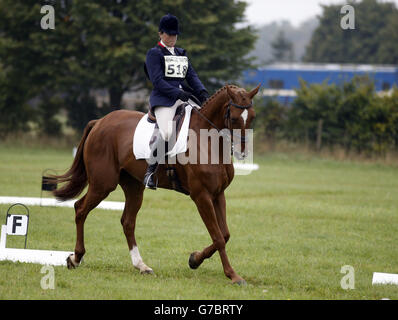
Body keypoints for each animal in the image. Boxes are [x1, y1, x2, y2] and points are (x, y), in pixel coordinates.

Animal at [50, 84, 262, 284]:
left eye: (252, 116)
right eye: (233, 118)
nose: (242, 152)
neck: (207, 142)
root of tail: (100, 121)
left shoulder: (218, 194)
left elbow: (225, 234)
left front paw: (194, 259)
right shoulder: (201, 196)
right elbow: (218, 237)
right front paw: (233, 275)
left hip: (133, 187)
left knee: (127, 221)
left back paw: (141, 266)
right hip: (103, 184)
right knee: (80, 209)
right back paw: (76, 258)